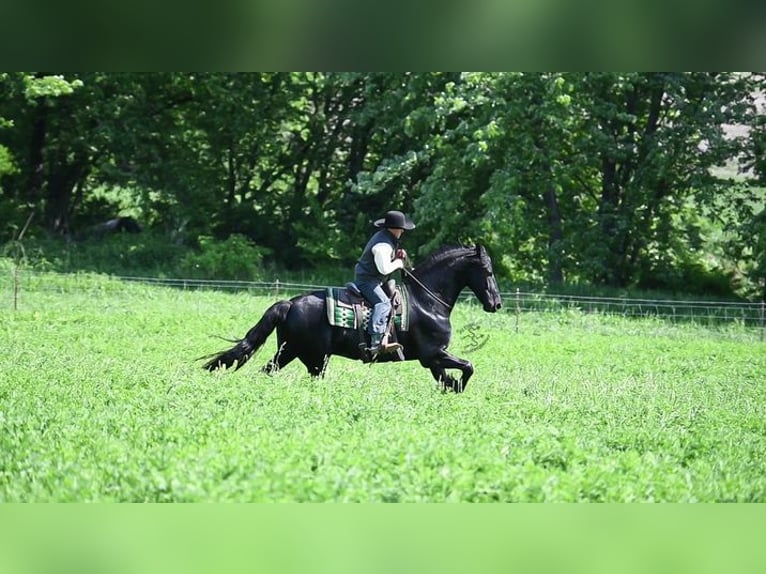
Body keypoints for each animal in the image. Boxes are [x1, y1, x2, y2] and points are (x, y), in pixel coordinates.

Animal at [204, 245, 504, 394]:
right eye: (488, 271)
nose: (496, 303)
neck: (427, 301)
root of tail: (290, 304)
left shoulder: (431, 359)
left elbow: (446, 379)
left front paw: (452, 390)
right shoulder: (433, 354)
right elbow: (468, 367)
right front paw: (459, 387)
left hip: (290, 352)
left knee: (267, 371)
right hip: (314, 357)